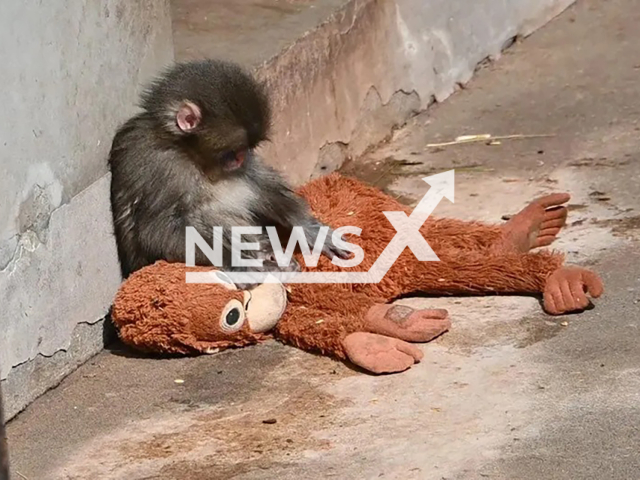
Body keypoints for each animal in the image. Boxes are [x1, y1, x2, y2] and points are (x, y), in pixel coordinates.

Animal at [108, 59, 349, 282]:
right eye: (233, 152)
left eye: (246, 149)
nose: (241, 158)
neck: (187, 151)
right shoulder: (160, 165)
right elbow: (156, 230)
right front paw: (238, 262)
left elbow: (256, 180)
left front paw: (308, 227)